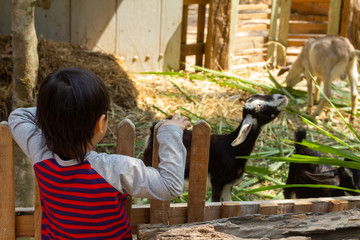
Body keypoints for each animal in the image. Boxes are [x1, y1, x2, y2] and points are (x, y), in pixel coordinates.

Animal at [142, 93, 288, 202]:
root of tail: (153, 128)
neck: (232, 149)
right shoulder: (217, 182)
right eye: (258, 107)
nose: (282, 97)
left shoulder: (229, 184)